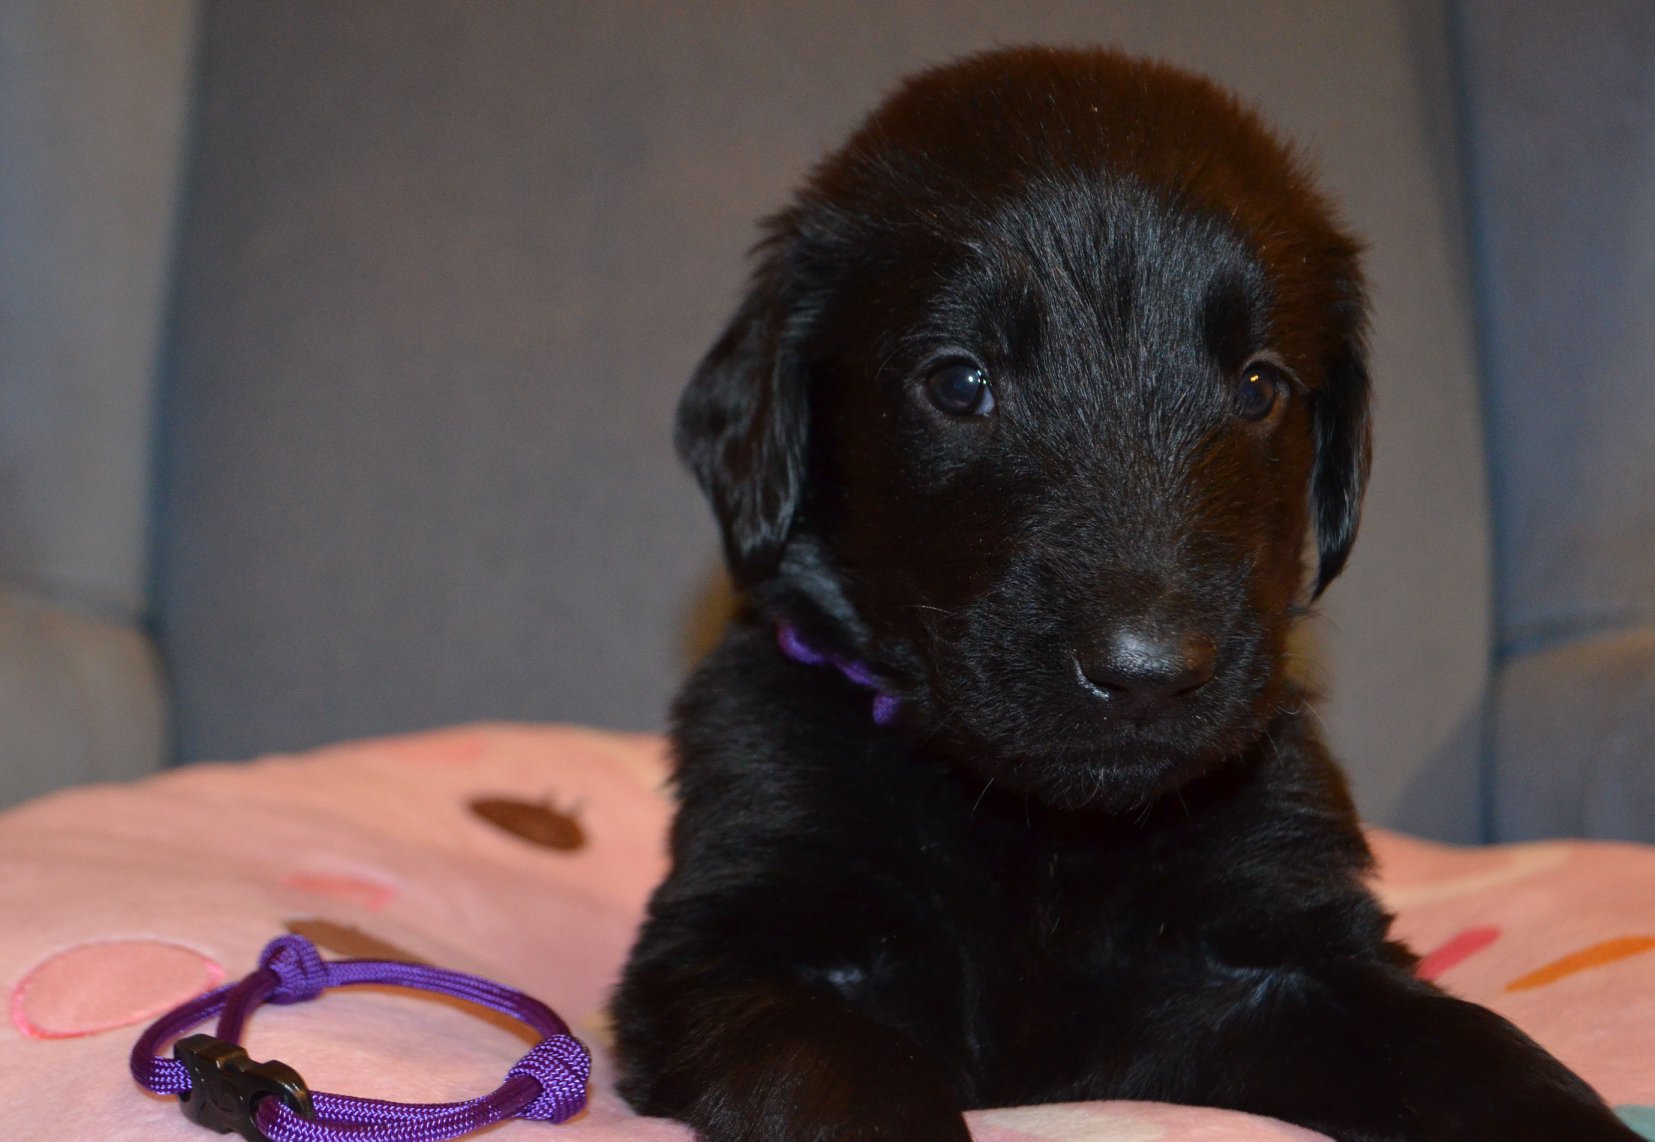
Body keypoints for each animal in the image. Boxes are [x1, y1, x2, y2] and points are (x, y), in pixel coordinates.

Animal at [612, 47, 1638, 1141]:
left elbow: (1473, 1054)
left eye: (1257, 385)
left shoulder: (1285, 956)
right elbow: (852, 1071)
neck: (1041, 829)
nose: (1146, 673)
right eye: (959, 382)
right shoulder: (734, 948)